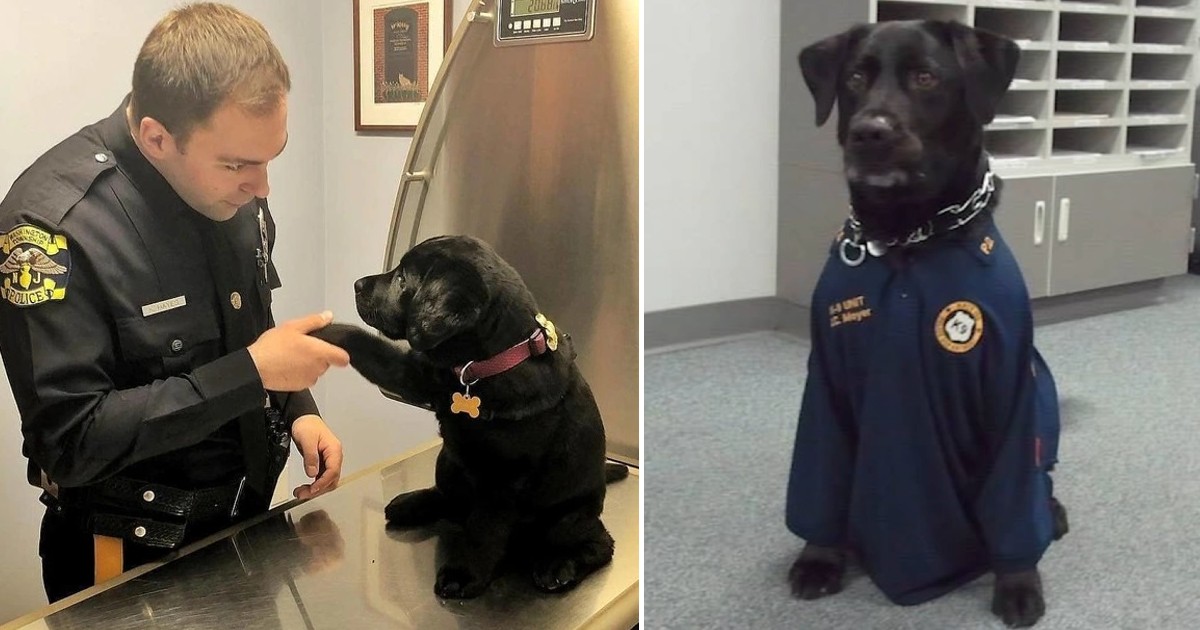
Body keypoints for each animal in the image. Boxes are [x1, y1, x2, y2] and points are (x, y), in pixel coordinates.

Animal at [309, 232, 628, 597]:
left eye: (402, 278)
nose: (357, 284)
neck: (483, 366)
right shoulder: (417, 376)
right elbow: (364, 343)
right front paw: (314, 333)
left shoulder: (503, 480)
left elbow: (483, 530)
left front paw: (463, 574)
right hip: (448, 462)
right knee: (451, 500)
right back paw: (413, 503)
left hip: (567, 518)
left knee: (598, 544)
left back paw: (559, 565)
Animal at [787, 20, 1070, 628]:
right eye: (854, 77)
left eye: (925, 77)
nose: (869, 132)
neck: (907, 237)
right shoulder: (826, 385)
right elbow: (821, 481)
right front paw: (820, 558)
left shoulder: (1010, 389)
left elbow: (1017, 503)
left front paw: (1018, 582)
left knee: (1042, 481)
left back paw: (1053, 512)